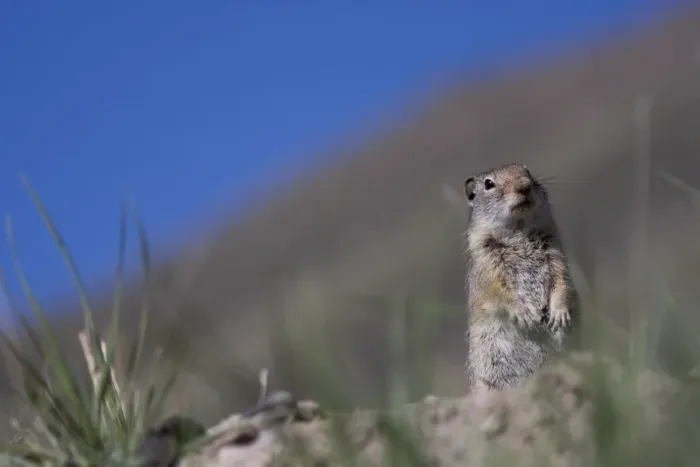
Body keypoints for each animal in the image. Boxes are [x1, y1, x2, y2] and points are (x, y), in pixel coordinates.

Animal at [462, 163, 579, 391]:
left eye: (528, 172)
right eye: (488, 184)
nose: (524, 186)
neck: (519, 231)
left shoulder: (555, 252)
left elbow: (562, 280)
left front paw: (559, 314)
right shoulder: (488, 264)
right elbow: (499, 291)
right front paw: (525, 315)